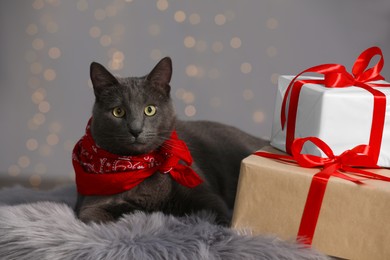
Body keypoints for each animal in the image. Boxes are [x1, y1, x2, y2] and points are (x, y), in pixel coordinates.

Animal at [74, 57, 266, 225]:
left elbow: (218, 213)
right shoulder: (89, 205)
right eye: (118, 111)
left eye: (150, 110)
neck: (138, 166)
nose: (135, 129)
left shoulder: (203, 193)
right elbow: (94, 217)